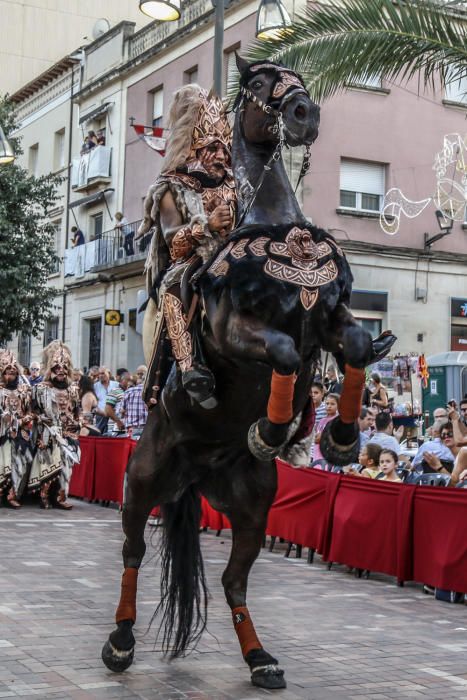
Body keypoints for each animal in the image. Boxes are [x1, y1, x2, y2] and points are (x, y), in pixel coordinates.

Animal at [101, 57, 394, 692]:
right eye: (259, 83)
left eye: (296, 76)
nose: (304, 113)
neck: (276, 225)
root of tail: (196, 471)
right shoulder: (231, 328)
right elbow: (281, 350)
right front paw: (275, 426)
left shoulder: (330, 318)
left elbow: (359, 345)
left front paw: (337, 438)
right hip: (141, 483)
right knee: (132, 554)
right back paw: (119, 643)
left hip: (253, 509)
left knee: (234, 580)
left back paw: (261, 659)